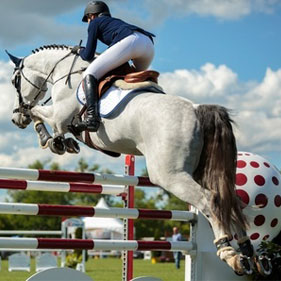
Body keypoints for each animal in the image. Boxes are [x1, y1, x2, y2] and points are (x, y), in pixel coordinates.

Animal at [6, 44, 270, 274]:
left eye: (14, 81)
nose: (14, 119)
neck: (64, 71)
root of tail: (197, 110)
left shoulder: (59, 116)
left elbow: (37, 112)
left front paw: (51, 141)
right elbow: (40, 115)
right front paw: (61, 141)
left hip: (170, 175)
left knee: (210, 200)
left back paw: (229, 254)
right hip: (198, 172)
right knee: (230, 202)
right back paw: (250, 255)